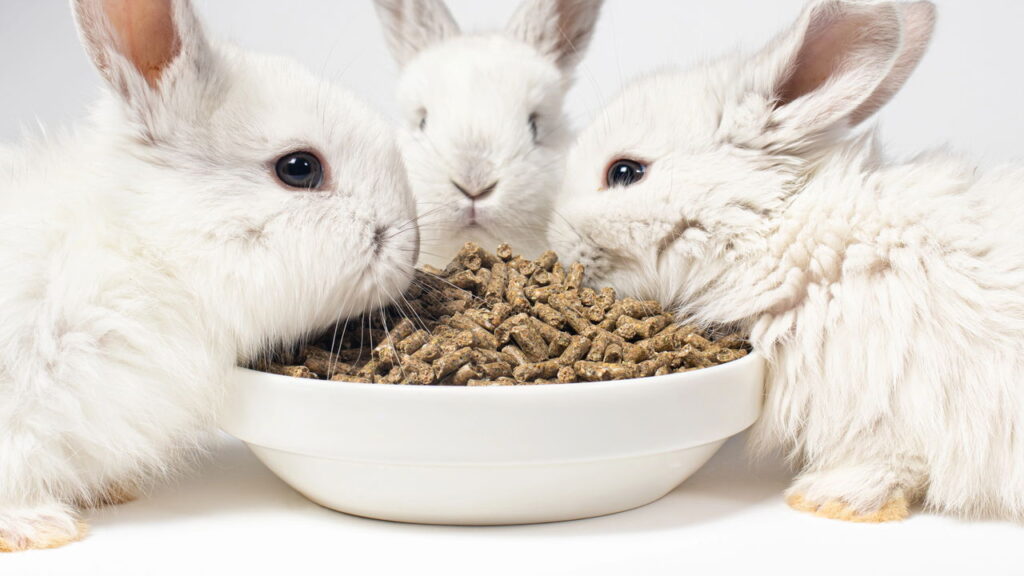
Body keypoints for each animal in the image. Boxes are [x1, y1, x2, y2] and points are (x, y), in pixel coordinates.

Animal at [550, 0, 1024, 523]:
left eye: (625, 171)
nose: (557, 248)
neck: (781, 233)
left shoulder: (893, 398)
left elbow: (890, 460)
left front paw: (828, 500)